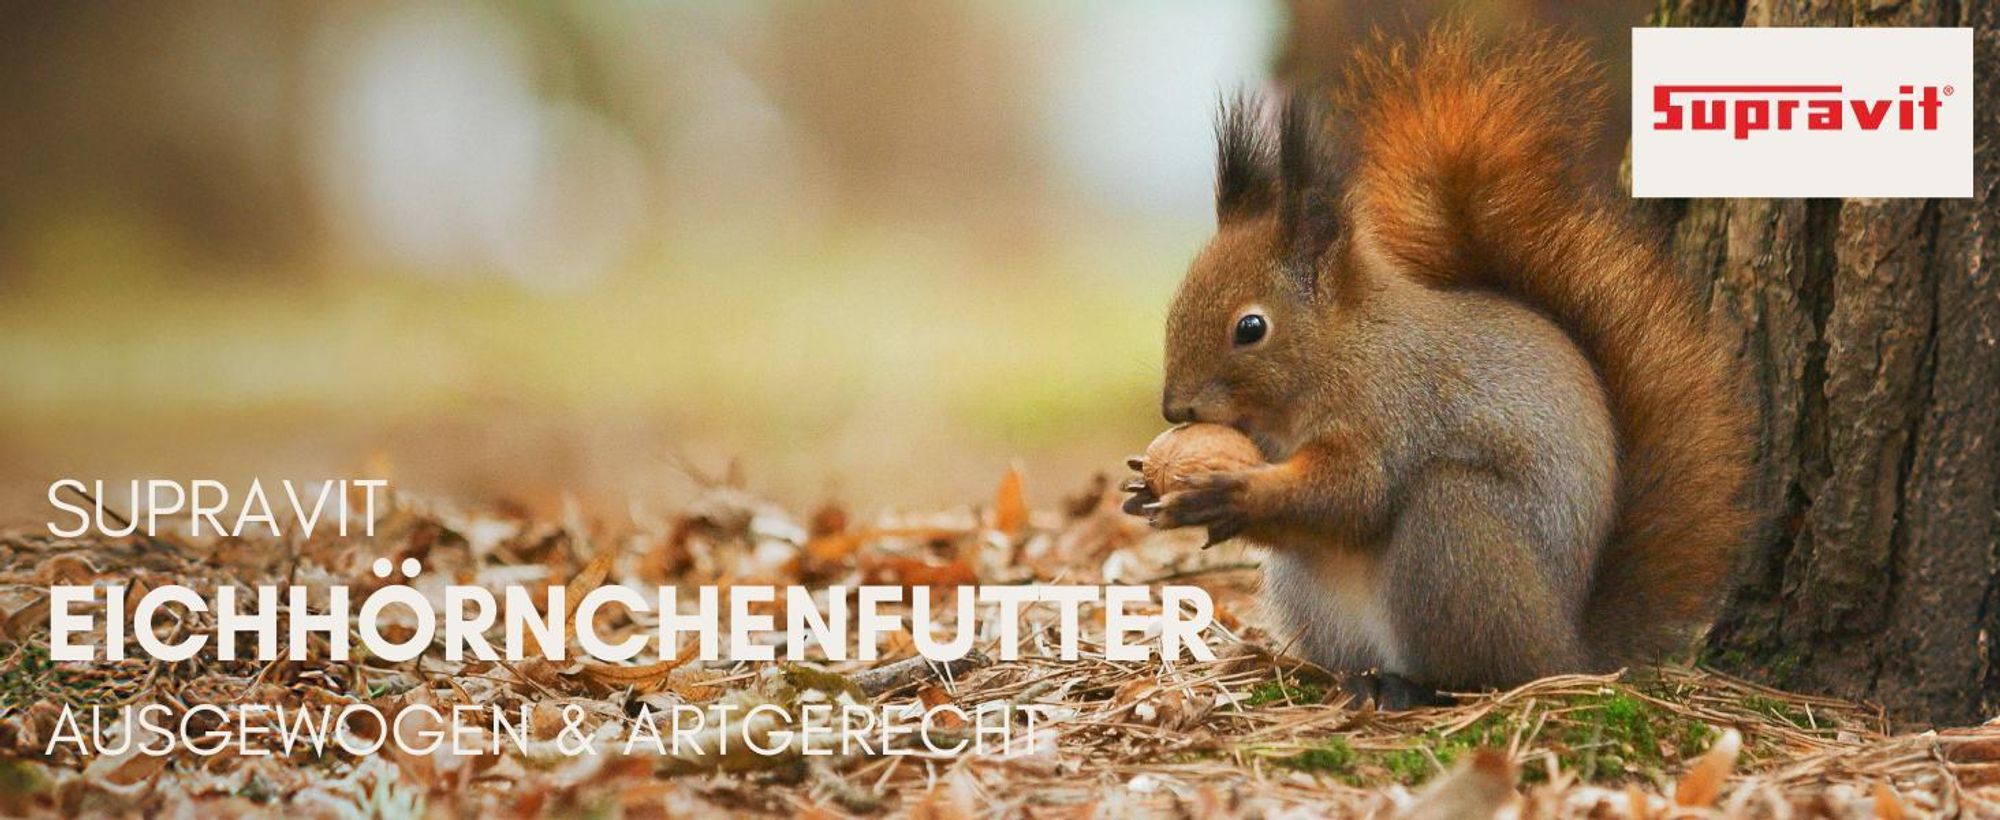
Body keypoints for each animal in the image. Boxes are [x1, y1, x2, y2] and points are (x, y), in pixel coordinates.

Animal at [1122, 26, 1753, 709]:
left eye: (1250, 328)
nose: (1174, 408)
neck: (1342, 350)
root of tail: (1570, 648)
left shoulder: (1392, 409)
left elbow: (1355, 494)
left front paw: (1232, 492)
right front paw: (1146, 488)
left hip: (1457, 536)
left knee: (1483, 666)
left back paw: (1414, 686)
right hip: (1316, 595)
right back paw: (1358, 679)